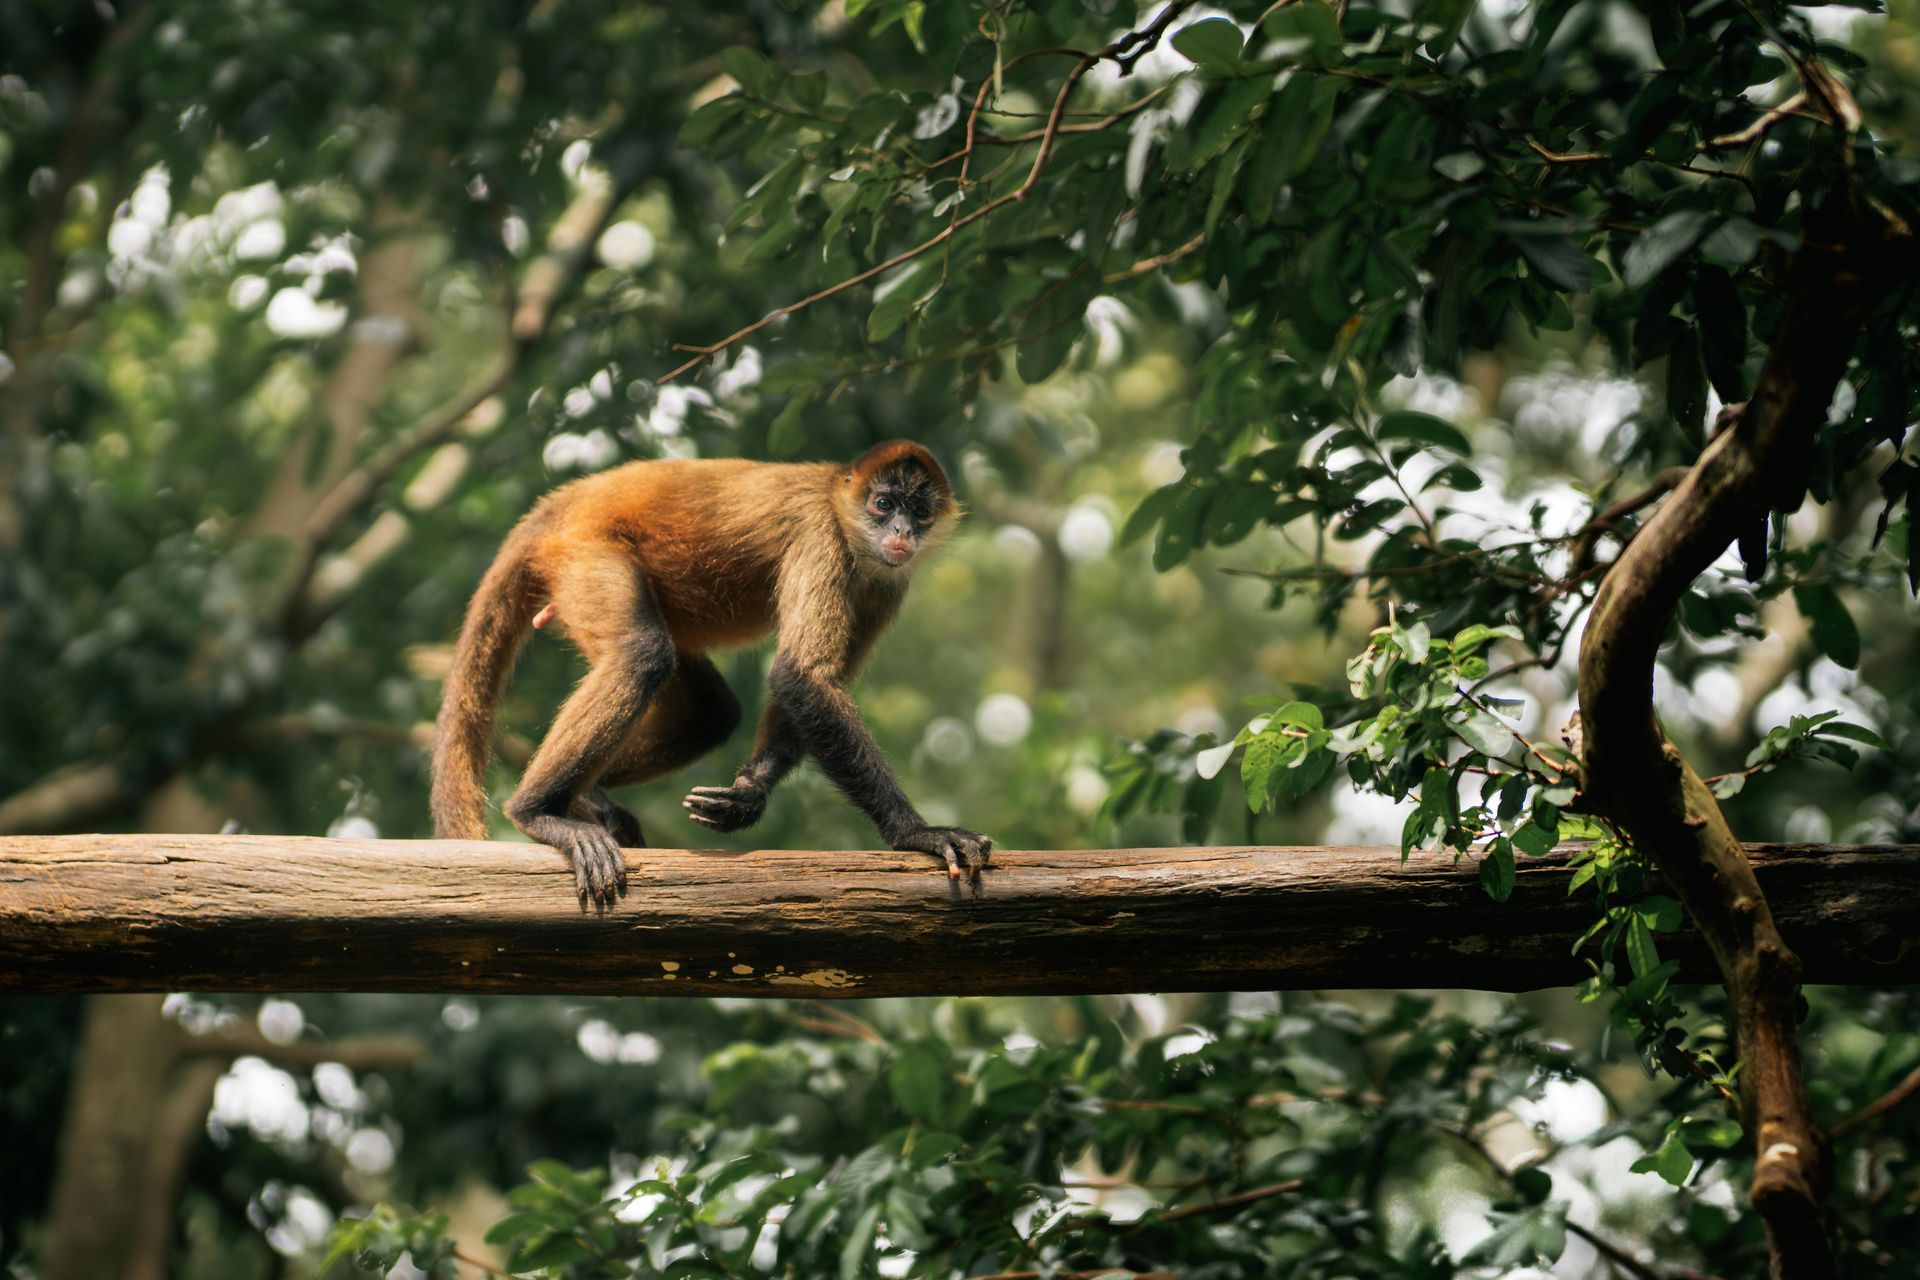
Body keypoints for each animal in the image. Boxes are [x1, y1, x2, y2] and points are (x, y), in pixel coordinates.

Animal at [430, 439, 992, 906]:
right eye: (884, 505)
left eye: (920, 512)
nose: (901, 532)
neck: (837, 499)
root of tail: (565, 501)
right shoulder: (821, 532)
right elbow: (801, 676)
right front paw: (918, 834)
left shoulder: (886, 581)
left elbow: (803, 687)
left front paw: (746, 798)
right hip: (583, 550)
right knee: (642, 654)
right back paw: (538, 813)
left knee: (711, 712)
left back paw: (586, 797)